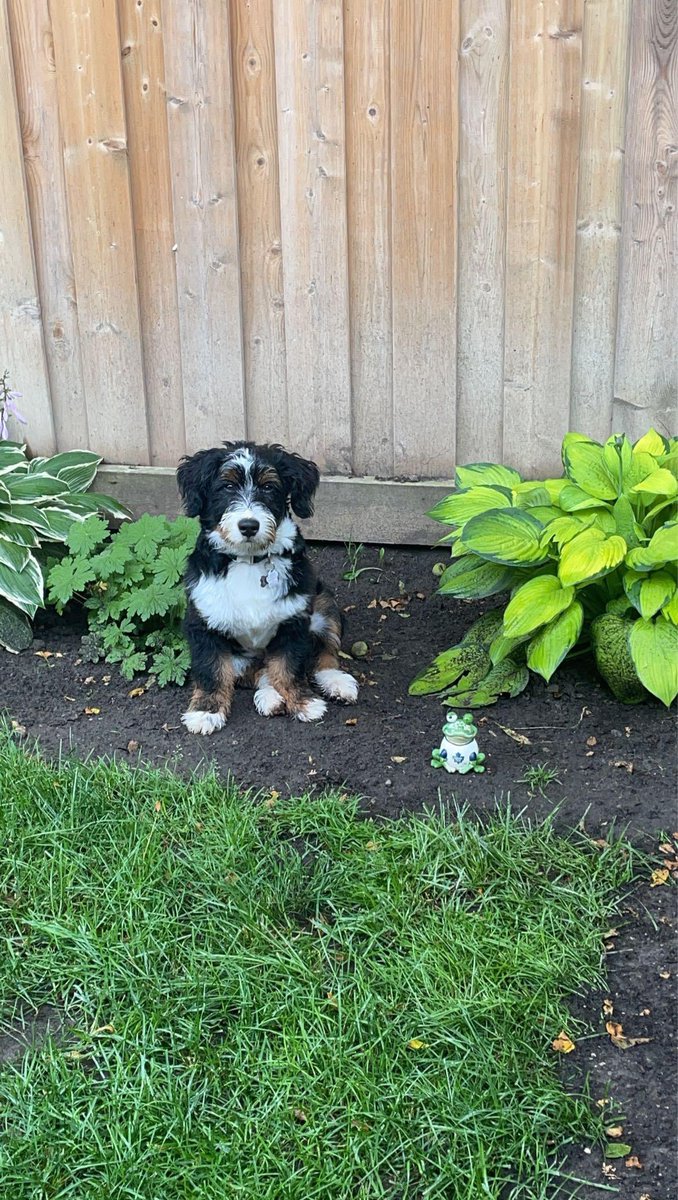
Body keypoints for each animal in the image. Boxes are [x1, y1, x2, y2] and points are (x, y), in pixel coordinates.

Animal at [176, 446, 360, 734]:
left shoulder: (294, 620)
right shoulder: (204, 622)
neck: (249, 560)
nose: (249, 526)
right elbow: (211, 670)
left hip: (324, 604)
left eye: (268, 487)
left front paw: (304, 702)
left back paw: (337, 683)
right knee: (259, 672)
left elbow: (289, 666)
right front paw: (206, 712)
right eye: (227, 486)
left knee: (324, 653)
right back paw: (270, 697)